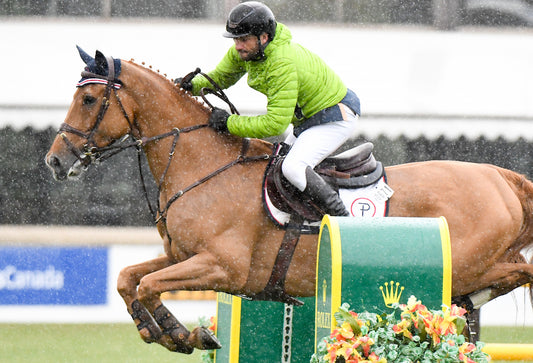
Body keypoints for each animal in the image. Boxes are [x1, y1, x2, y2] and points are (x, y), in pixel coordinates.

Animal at [46, 48, 533, 356]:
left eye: (88, 98)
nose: (55, 160)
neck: (201, 164)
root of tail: (501, 177)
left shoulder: (221, 266)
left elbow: (148, 285)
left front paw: (186, 336)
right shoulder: (182, 256)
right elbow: (129, 278)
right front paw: (158, 331)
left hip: (472, 261)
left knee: (516, 272)